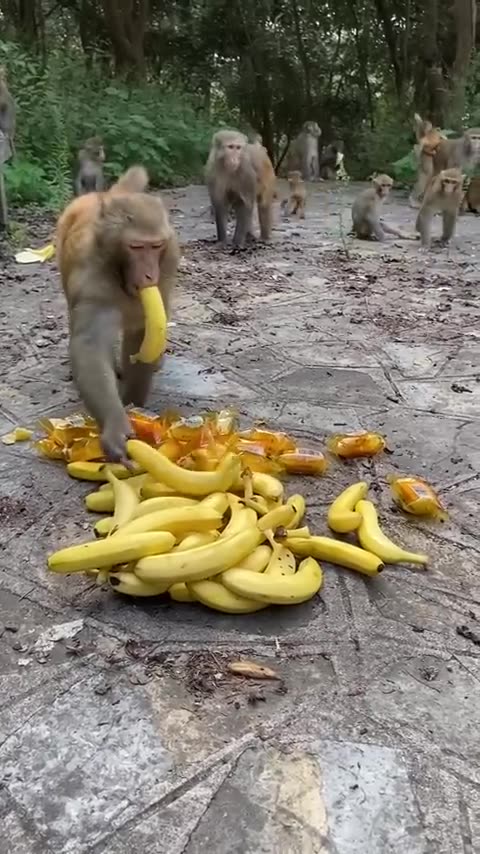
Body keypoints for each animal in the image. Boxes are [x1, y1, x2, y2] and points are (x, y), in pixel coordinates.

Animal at [56, 165, 179, 463]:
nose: (148, 275)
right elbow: (90, 344)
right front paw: (116, 424)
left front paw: (134, 404)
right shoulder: (90, 276)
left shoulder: (168, 264)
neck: (118, 270)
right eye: (136, 247)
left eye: (156, 246)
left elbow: (143, 333)